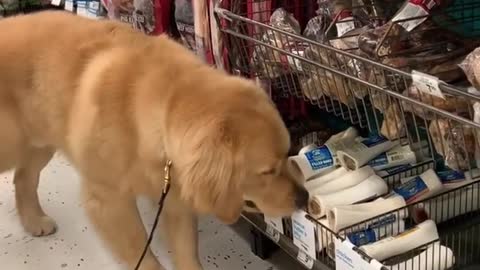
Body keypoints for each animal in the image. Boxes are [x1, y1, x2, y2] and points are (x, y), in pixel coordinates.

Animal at [0, 10, 308, 270]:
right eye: (267, 171)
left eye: (288, 153)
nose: (304, 198)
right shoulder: (109, 202)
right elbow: (143, 257)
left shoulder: (175, 197)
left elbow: (186, 252)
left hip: (41, 141)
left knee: (24, 178)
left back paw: (33, 220)